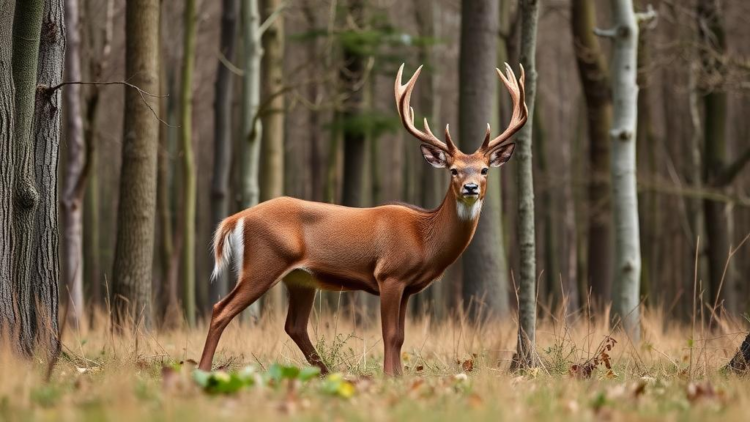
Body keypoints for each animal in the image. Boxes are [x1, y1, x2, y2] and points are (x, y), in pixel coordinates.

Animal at [199, 63, 528, 376]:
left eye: (484, 169)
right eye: (454, 170)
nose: (471, 188)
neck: (424, 238)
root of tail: (239, 217)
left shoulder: (408, 287)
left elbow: (401, 337)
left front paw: (397, 376)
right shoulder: (389, 274)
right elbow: (390, 334)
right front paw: (390, 377)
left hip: (300, 278)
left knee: (294, 325)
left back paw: (326, 373)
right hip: (264, 262)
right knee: (220, 309)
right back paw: (202, 369)